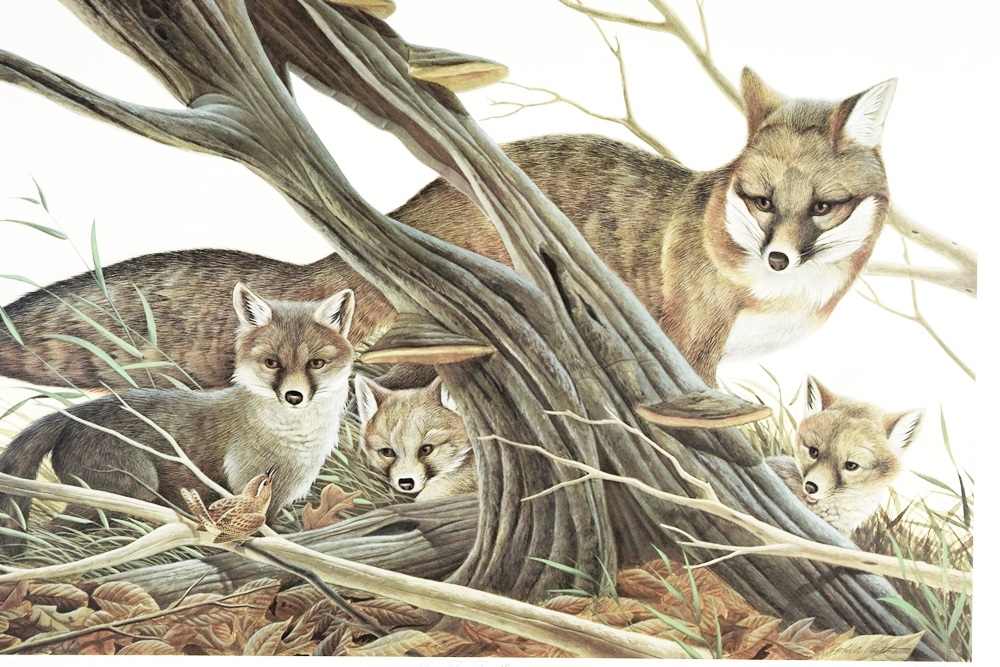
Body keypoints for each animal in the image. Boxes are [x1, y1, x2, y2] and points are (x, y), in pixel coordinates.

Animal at [0, 283, 355, 549]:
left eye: (316, 363)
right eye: (271, 363)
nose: (294, 397)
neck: (294, 442)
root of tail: (72, 414)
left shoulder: (277, 497)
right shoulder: (245, 487)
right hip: (131, 488)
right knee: (54, 532)